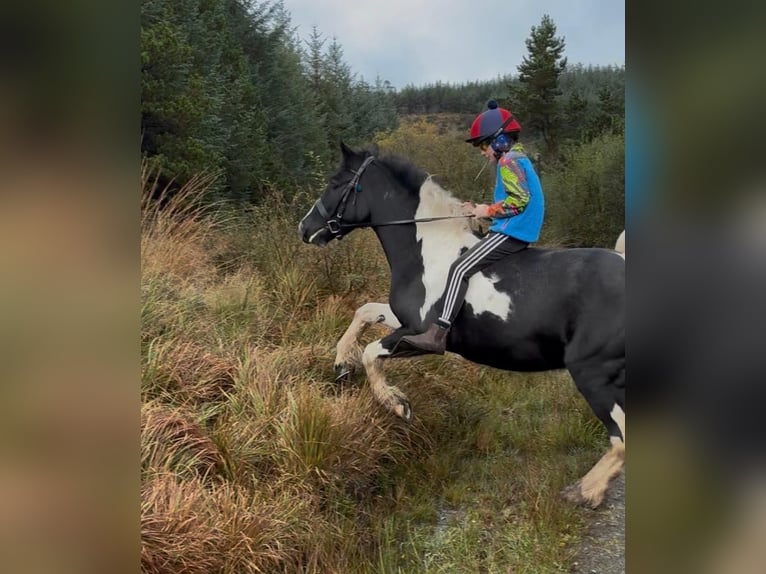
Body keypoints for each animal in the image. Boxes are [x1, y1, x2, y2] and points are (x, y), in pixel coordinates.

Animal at [298, 142, 625, 508]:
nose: (304, 228)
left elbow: (372, 352)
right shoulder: (403, 320)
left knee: (621, 438)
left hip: (592, 373)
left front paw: (396, 404)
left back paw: (584, 490)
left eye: (336, 183)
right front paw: (342, 362)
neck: (427, 252)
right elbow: (365, 312)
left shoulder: (420, 337)